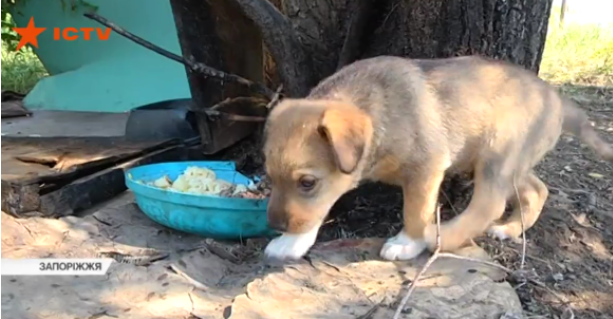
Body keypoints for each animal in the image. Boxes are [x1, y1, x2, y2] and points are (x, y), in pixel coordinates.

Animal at [262, 55, 612, 262]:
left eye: (307, 182)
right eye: (269, 177)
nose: (274, 225)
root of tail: (556, 98)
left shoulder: (426, 169)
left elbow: (415, 212)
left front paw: (408, 242)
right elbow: (315, 212)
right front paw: (291, 242)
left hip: (497, 153)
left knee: (491, 203)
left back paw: (440, 237)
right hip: (512, 162)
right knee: (537, 190)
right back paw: (511, 229)